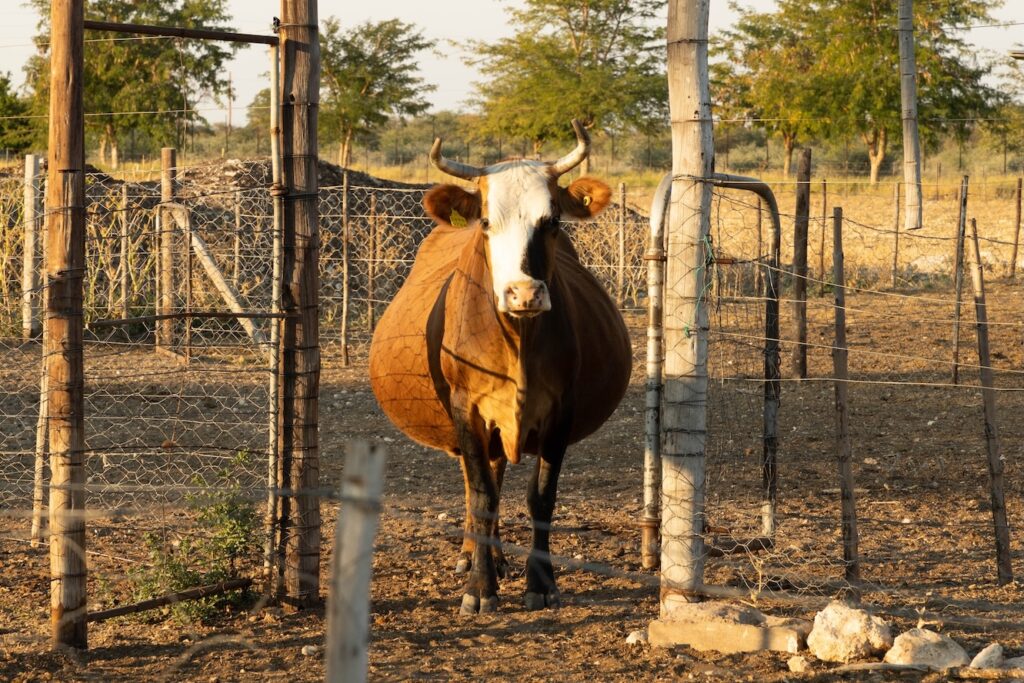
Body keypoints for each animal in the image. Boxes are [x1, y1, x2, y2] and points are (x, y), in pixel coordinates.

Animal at [369, 120, 632, 615]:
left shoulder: (561, 411)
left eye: (551, 221)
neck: (517, 341)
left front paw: (540, 582)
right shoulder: (465, 408)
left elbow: (540, 496)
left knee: (496, 472)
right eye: (488, 222)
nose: (524, 293)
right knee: (477, 483)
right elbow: (482, 494)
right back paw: (472, 555)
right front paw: (479, 586)